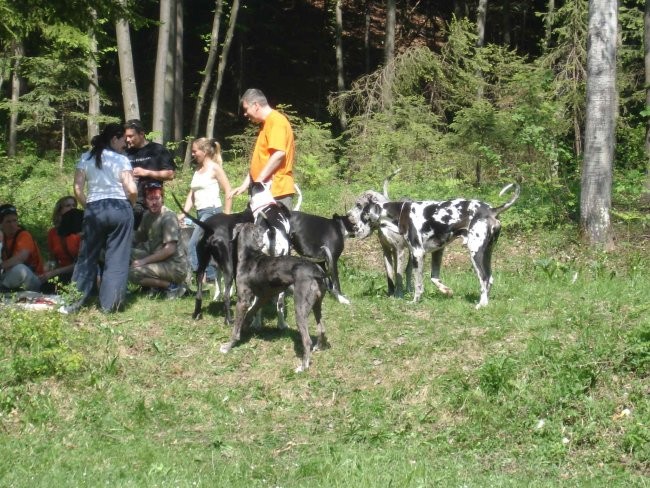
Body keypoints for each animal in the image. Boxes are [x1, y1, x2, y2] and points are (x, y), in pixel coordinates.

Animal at [346, 183, 520, 308]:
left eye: (362, 214)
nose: (354, 231)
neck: (401, 213)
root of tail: (492, 210)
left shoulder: (417, 253)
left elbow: (417, 284)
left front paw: (415, 301)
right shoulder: (438, 251)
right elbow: (434, 278)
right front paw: (446, 291)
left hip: (475, 254)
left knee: (484, 278)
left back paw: (481, 304)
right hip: (486, 254)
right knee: (490, 279)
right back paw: (485, 301)